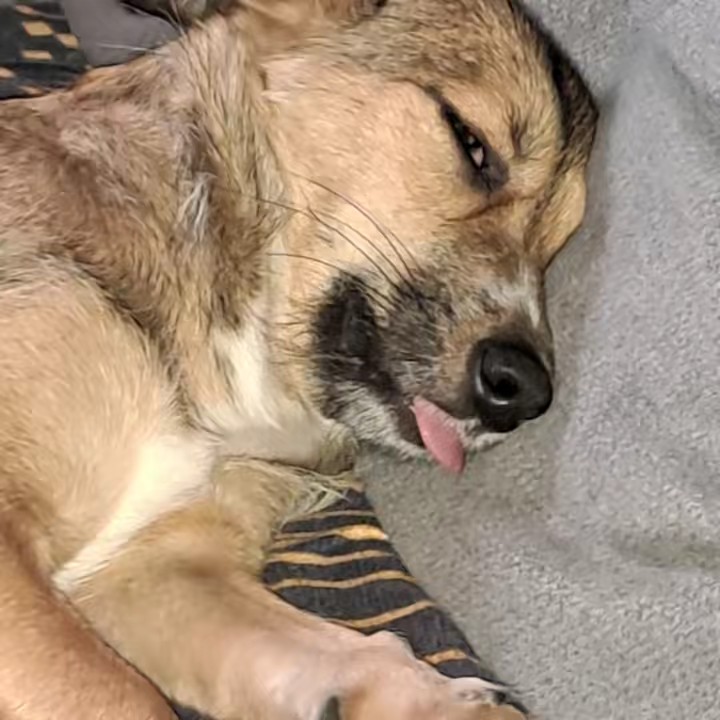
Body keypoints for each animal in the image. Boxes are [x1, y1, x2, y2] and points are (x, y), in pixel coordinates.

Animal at [0, 0, 598, 718]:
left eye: (556, 248)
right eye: (472, 144)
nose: (525, 390)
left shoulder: (158, 569)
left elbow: (349, 653)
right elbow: (125, 697)